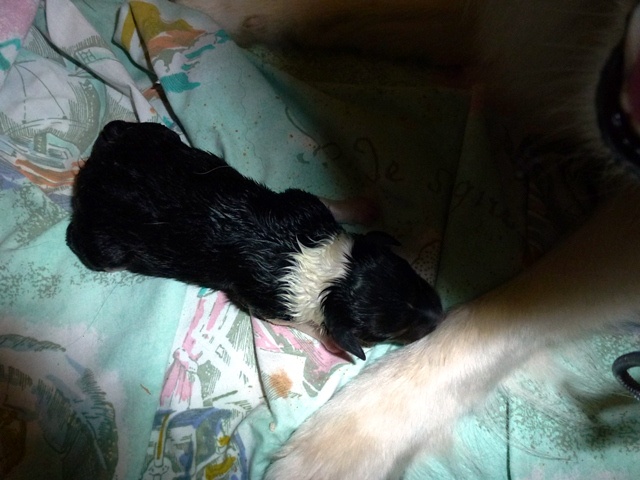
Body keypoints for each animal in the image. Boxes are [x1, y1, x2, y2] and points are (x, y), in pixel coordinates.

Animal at [65, 120, 443, 361]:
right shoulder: (263, 300)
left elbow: (328, 202)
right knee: (80, 241)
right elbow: (307, 325)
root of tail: (97, 166)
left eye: (411, 274)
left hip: (154, 134)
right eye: (386, 333)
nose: (441, 315)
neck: (327, 270)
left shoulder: (302, 203)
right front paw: (335, 345)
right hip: (104, 246)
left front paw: (365, 207)